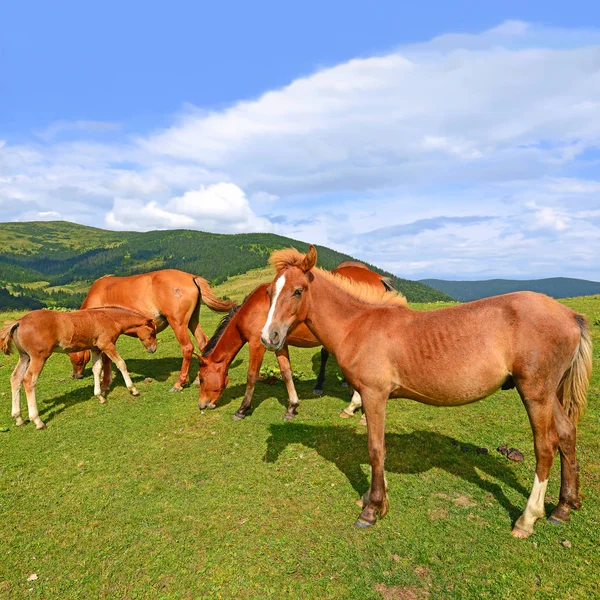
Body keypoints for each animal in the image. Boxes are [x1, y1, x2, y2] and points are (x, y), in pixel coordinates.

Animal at [0, 308, 158, 428]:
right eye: (152, 333)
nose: (153, 349)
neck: (110, 318)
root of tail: (19, 322)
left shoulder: (95, 348)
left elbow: (97, 369)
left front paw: (100, 396)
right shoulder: (106, 345)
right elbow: (121, 364)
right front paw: (133, 389)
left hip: (24, 356)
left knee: (15, 378)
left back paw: (18, 418)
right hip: (38, 357)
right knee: (28, 380)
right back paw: (38, 421)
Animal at [195, 262, 398, 422]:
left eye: (202, 378)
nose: (202, 405)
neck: (250, 309)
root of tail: (379, 278)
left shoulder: (257, 344)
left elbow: (252, 376)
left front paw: (242, 409)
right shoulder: (279, 344)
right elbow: (286, 373)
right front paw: (292, 407)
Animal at [262, 246, 592, 536]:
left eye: (297, 291)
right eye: (269, 293)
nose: (269, 337)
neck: (359, 325)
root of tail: (569, 315)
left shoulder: (374, 395)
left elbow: (375, 449)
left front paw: (372, 510)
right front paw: (372, 498)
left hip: (535, 392)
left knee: (545, 447)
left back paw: (527, 519)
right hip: (549, 394)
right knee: (566, 434)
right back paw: (563, 508)